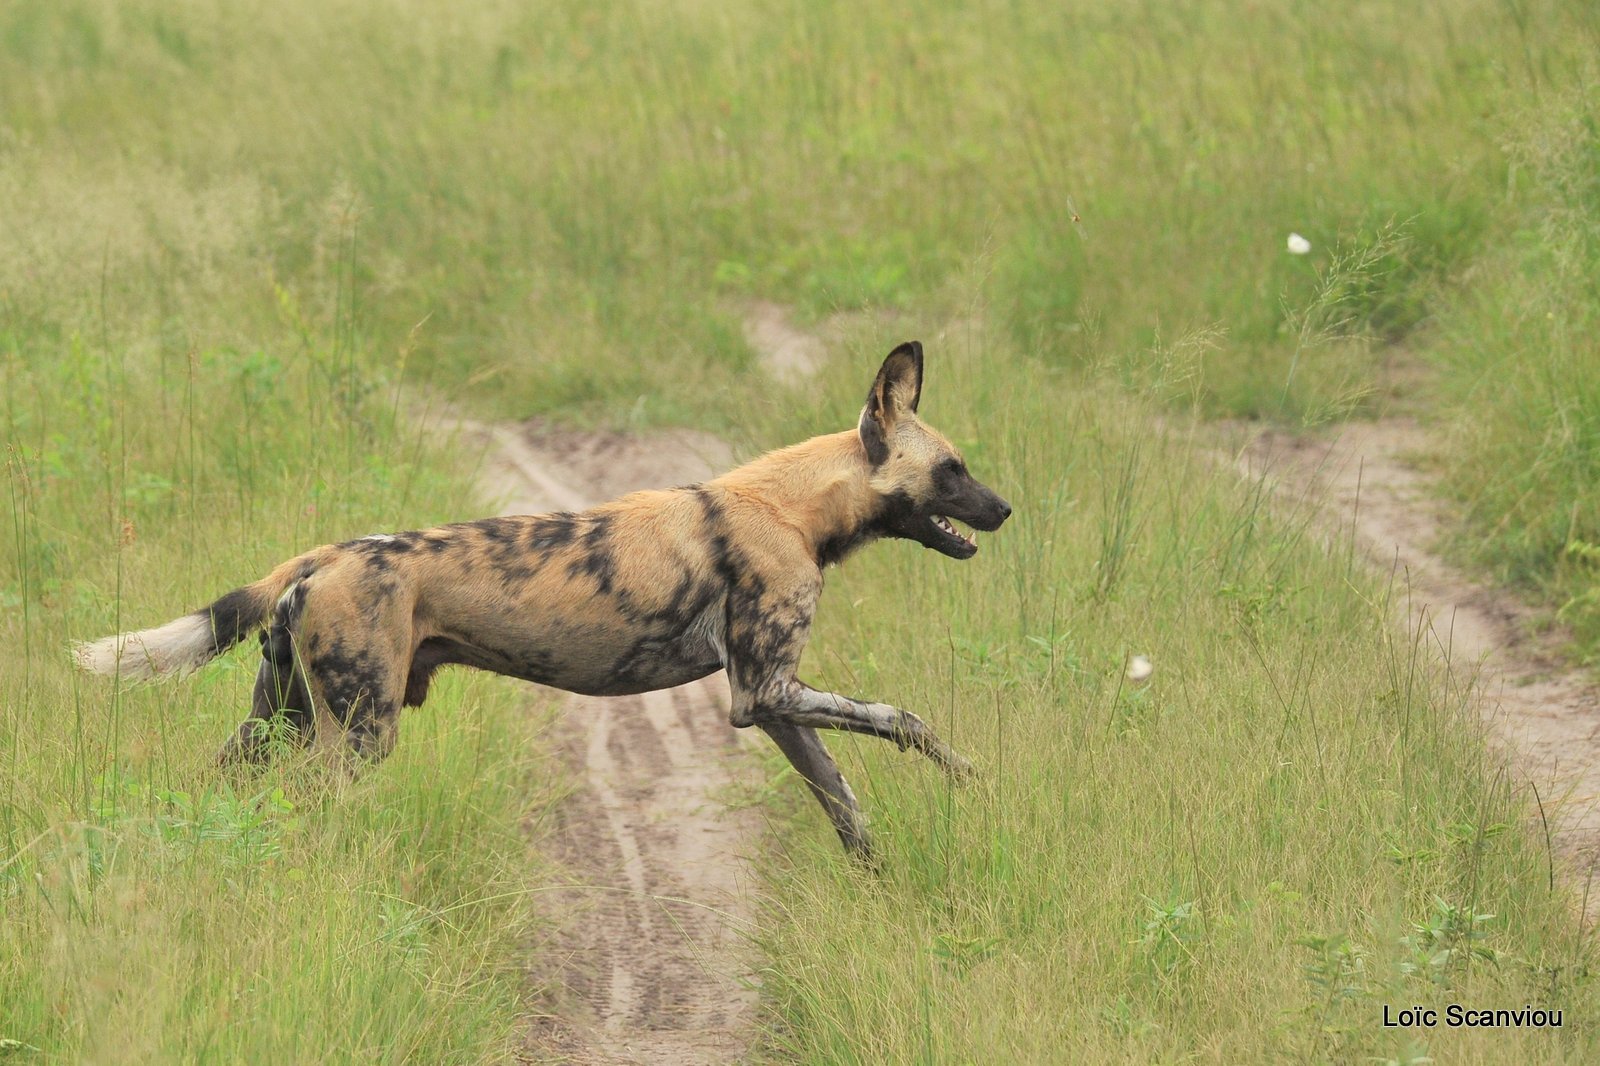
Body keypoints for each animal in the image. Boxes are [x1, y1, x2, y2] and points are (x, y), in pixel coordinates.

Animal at [75, 340, 1011, 857]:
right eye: (954, 470)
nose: (1005, 509)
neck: (795, 506)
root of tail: (325, 554)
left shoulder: (776, 706)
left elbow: (847, 811)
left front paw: (882, 889)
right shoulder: (765, 693)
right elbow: (903, 718)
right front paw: (969, 774)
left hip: (272, 726)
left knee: (219, 792)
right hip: (357, 736)